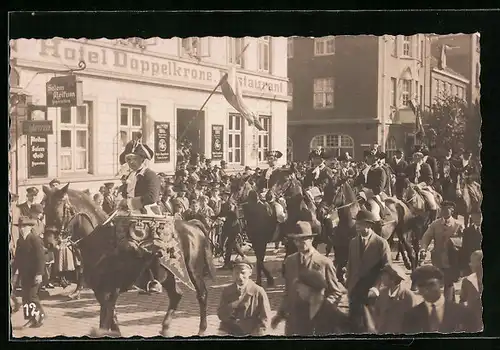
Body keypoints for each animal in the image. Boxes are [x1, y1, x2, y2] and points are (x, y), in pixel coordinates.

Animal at [43, 183, 215, 336]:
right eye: (45, 210)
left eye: (59, 210)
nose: (48, 243)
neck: (101, 242)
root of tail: (193, 226)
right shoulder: (101, 292)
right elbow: (112, 319)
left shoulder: (110, 291)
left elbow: (105, 321)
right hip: (168, 275)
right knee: (176, 295)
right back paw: (165, 327)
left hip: (193, 271)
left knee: (202, 295)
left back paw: (202, 329)